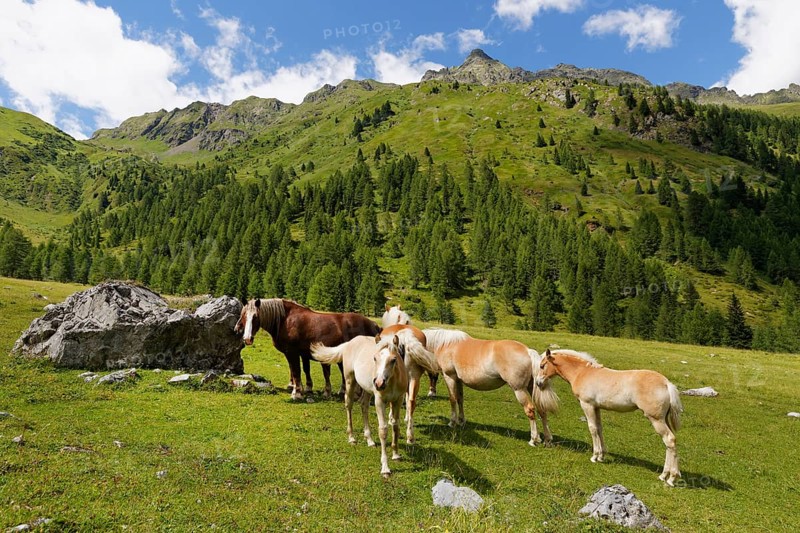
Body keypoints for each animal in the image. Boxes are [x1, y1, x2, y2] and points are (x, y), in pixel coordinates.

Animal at [235, 298, 381, 401]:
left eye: (255, 317)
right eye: (243, 315)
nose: (246, 338)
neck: (285, 320)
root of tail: (373, 324)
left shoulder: (293, 353)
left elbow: (296, 371)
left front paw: (297, 393)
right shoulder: (297, 354)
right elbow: (299, 370)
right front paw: (301, 388)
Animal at [311, 334, 409, 477]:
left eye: (394, 359)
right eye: (375, 358)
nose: (379, 383)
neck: (392, 381)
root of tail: (350, 342)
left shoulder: (398, 400)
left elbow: (396, 426)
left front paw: (396, 455)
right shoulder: (379, 401)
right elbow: (383, 430)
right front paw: (385, 468)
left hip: (367, 389)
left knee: (364, 406)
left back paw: (369, 440)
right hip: (350, 381)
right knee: (349, 404)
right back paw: (351, 438)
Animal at [422, 329, 559, 447]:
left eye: (431, 376)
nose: (430, 393)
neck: (446, 344)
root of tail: (527, 351)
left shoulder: (449, 377)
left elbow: (453, 399)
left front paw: (452, 422)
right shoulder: (458, 380)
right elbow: (460, 399)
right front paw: (461, 421)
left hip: (519, 389)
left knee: (530, 409)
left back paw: (533, 439)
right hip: (532, 388)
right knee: (542, 410)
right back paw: (547, 439)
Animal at [535, 349, 683, 486]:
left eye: (542, 366)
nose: (538, 383)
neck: (582, 373)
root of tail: (666, 383)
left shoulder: (587, 405)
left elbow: (592, 428)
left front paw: (595, 456)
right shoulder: (597, 407)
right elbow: (599, 428)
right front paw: (602, 456)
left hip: (656, 419)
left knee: (669, 440)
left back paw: (671, 478)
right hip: (663, 419)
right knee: (669, 443)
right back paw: (664, 475)